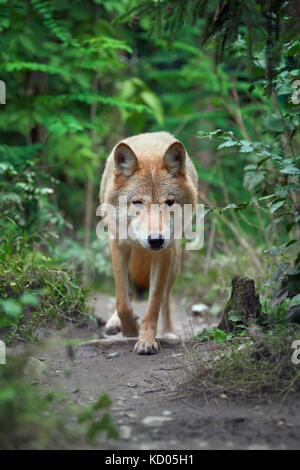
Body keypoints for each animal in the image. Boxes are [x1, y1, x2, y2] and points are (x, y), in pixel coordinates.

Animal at [99, 131, 198, 352]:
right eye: (137, 202)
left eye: (169, 202)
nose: (155, 240)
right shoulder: (118, 245)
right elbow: (121, 300)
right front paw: (129, 329)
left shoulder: (164, 254)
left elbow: (154, 304)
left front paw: (146, 340)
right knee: (126, 291)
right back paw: (114, 323)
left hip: (175, 260)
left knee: (166, 298)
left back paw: (169, 333)